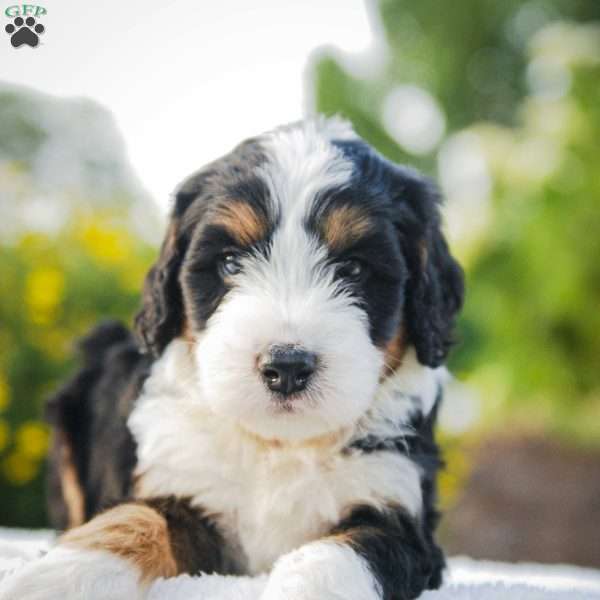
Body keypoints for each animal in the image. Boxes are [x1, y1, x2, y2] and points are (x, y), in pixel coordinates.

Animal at [0, 118, 464, 600]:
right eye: (230, 263)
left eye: (353, 269)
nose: (287, 367)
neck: (277, 446)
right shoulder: (184, 488)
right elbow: (136, 518)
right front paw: (58, 576)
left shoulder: (398, 512)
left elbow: (342, 553)